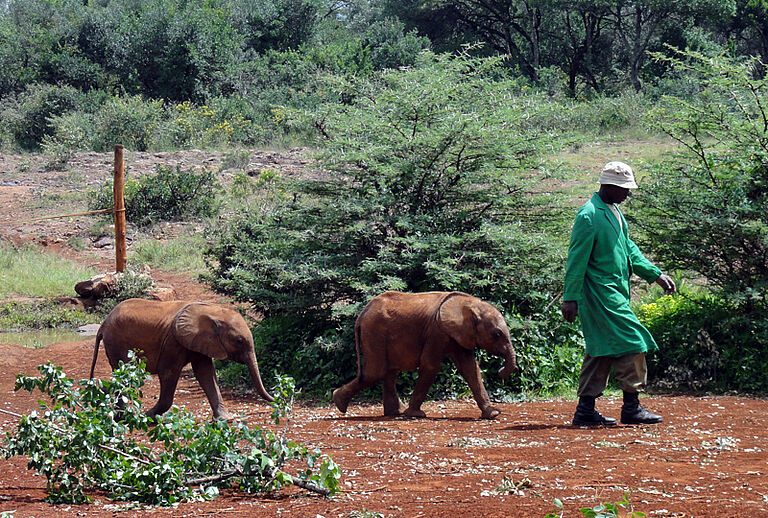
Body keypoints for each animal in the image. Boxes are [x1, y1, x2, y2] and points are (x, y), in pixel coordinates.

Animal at [89, 298, 272, 420]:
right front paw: (148, 417)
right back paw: (121, 417)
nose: (276, 400)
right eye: (239, 341)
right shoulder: (172, 341)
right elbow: (168, 372)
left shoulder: (200, 341)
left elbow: (205, 374)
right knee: (123, 373)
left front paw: (224, 419)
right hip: (116, 342)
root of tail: (103, 323)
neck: (212, 311)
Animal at [332, 292, 520, 422]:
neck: (469, 303)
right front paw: (416, 414)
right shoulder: (437, 331)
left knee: (388, 372)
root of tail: (362, 314)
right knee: (375, 372)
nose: (500, 371)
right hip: (374, 332)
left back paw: (394, 412)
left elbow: (470, 368)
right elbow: (431, 365)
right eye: (497, 334)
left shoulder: (458, 335)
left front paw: (493, 414)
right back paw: (339, 403)